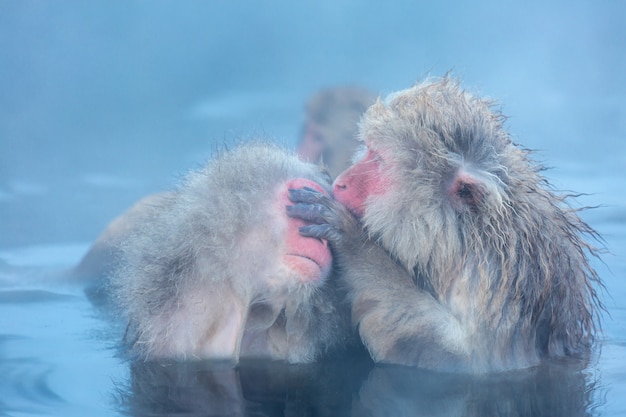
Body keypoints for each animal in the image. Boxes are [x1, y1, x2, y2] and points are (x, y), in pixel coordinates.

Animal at [286, 76, 600, 372]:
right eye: (368, 151)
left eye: (380, 161)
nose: (341, 182)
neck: (459, 238)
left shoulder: (496, 281)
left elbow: (456, 357)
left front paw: (349, 237)